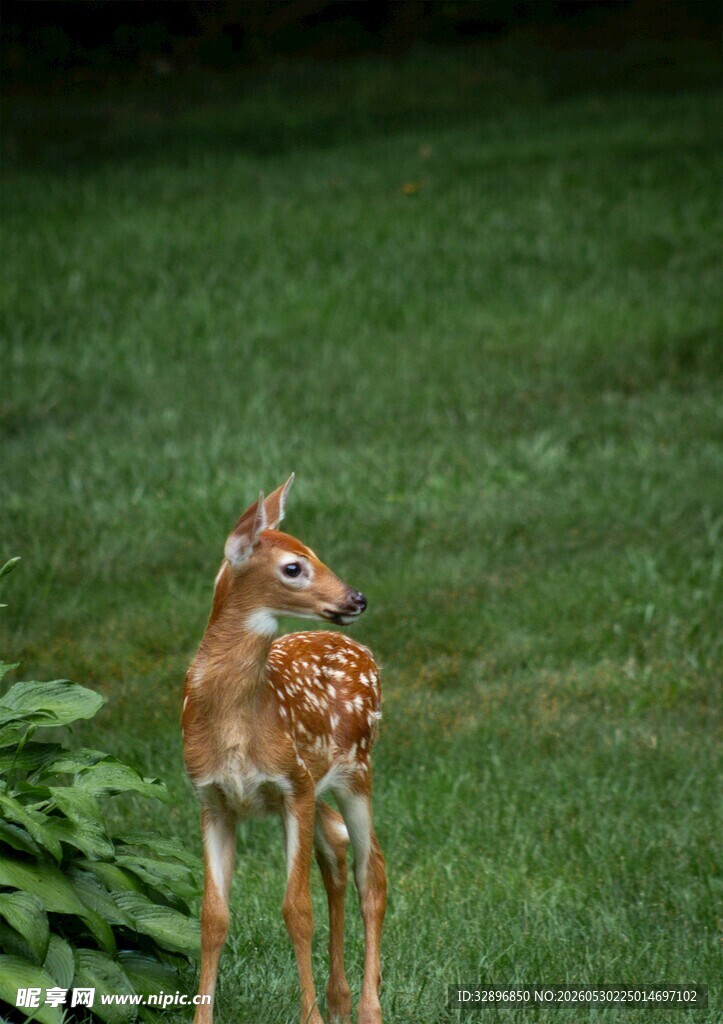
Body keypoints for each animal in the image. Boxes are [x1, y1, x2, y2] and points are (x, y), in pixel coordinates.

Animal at [182, 475, 386, 1024]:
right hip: (317, 786)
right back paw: (339, 1000)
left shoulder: (292, 784)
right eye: (294, 566)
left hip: (356, 769)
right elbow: (212, 916)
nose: (358, 598)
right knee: (336, 848)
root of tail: (366, 653)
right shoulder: (212, 799)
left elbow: (297, 910)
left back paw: (367, 1009)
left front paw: (309, 1017)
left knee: (371, 873)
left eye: (314, 550)